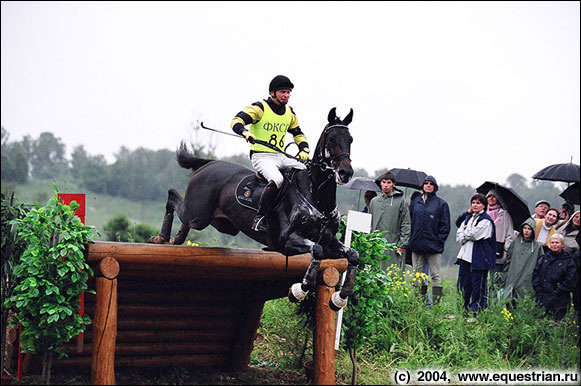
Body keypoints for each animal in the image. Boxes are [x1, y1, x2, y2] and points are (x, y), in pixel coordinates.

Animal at [146, 108, 358, 310]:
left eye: (350, 139)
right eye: (332, 139)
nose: (345, 173)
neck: (316, 196)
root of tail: (209, 163)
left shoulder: (329, 242)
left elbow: (352, 255)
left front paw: (340, 298)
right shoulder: (287, 240)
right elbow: (317, 251)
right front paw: (299, 290)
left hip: (220, 224)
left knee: (185, 219)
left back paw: (175, 239)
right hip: (198, 214)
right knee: (173, 196)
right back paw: (161, 238)